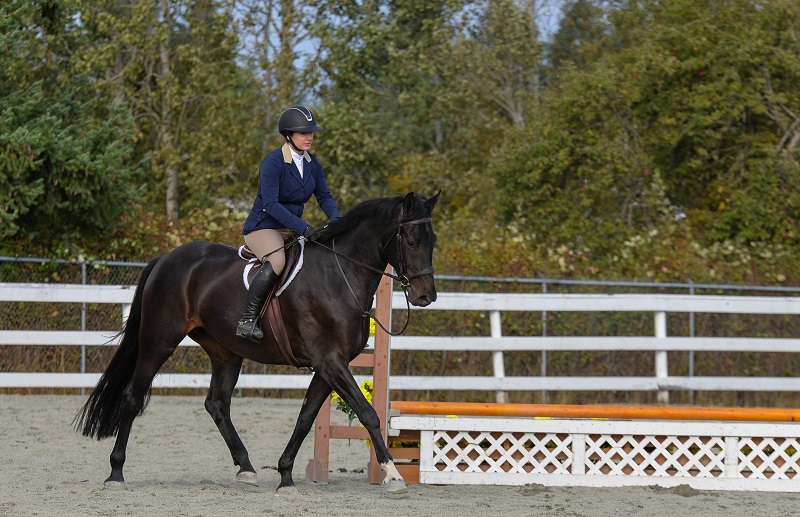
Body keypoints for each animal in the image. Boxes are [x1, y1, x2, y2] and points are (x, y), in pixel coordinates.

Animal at [74, 191, 440, 494]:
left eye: (432, 240)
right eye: (409, 240)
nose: (426, 297)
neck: (341, 276)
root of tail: (166, 259)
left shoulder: (328, 366)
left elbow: (305, 418)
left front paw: (286, 475)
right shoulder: (330, 361)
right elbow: (368, 413)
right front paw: (392, 475)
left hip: (224, 351)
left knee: (217, 404)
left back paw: (246, 468)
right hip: (159, 341)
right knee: (133, 397)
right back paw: (116, 472)